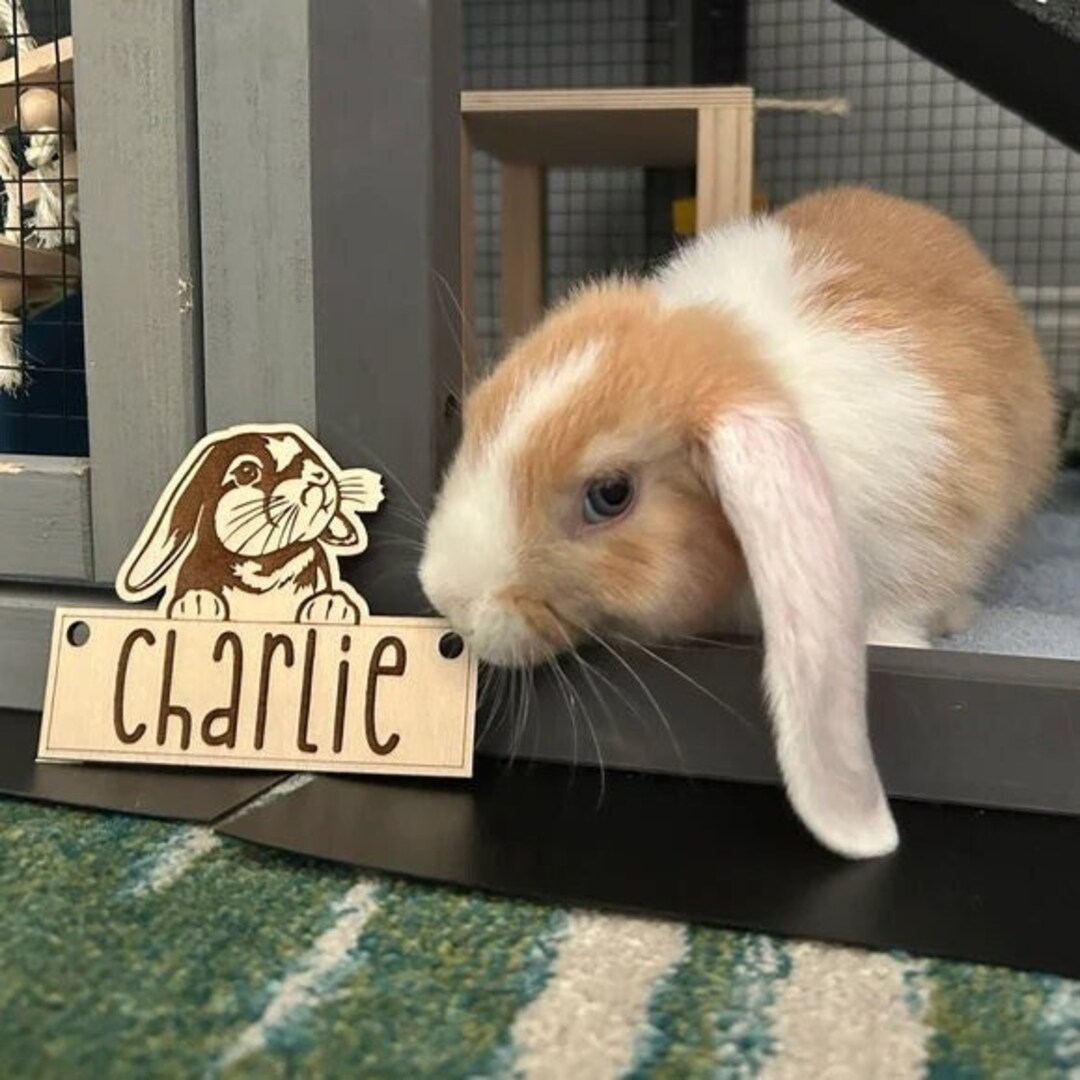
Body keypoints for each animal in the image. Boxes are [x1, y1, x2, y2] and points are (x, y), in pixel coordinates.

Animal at [119, 425, 384, 624]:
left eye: (312, 460)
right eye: (247, 471)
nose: (319, 476)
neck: (264, 569)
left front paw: (331, 607)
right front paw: (197, 603)